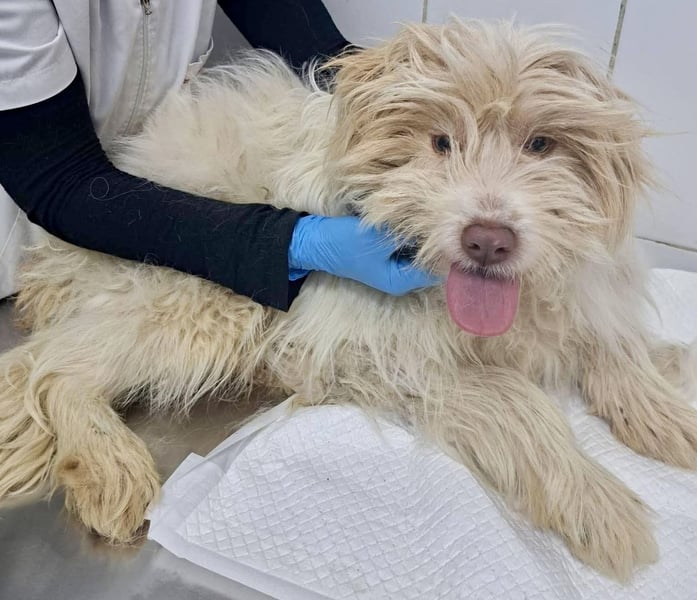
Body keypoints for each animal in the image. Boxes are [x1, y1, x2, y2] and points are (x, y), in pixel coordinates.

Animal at [1, 19, 696, 581]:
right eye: (439, 143)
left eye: (541, 145)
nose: (488, 239)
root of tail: (51, 263)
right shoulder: (370, 349)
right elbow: (513, 398)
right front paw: (594, 501)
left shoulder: (577, 300)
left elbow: (614, 345)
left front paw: (669, 399)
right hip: (209, 301)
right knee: (47, 368)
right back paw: (108, 466)